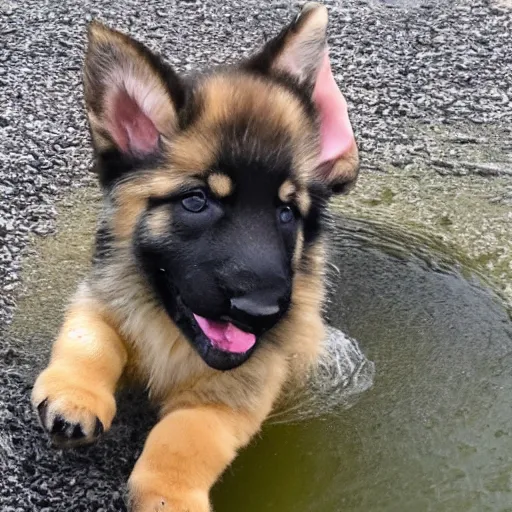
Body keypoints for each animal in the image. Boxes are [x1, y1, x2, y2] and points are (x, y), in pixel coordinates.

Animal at [32, 2, 358, 510]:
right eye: (197, 200)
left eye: (287, 211)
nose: (260, 313)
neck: (172, 334)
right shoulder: (101, 298)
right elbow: (90, 339)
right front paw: (76, 396)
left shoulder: (233, 393)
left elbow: (185, 436)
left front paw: (169, 495)